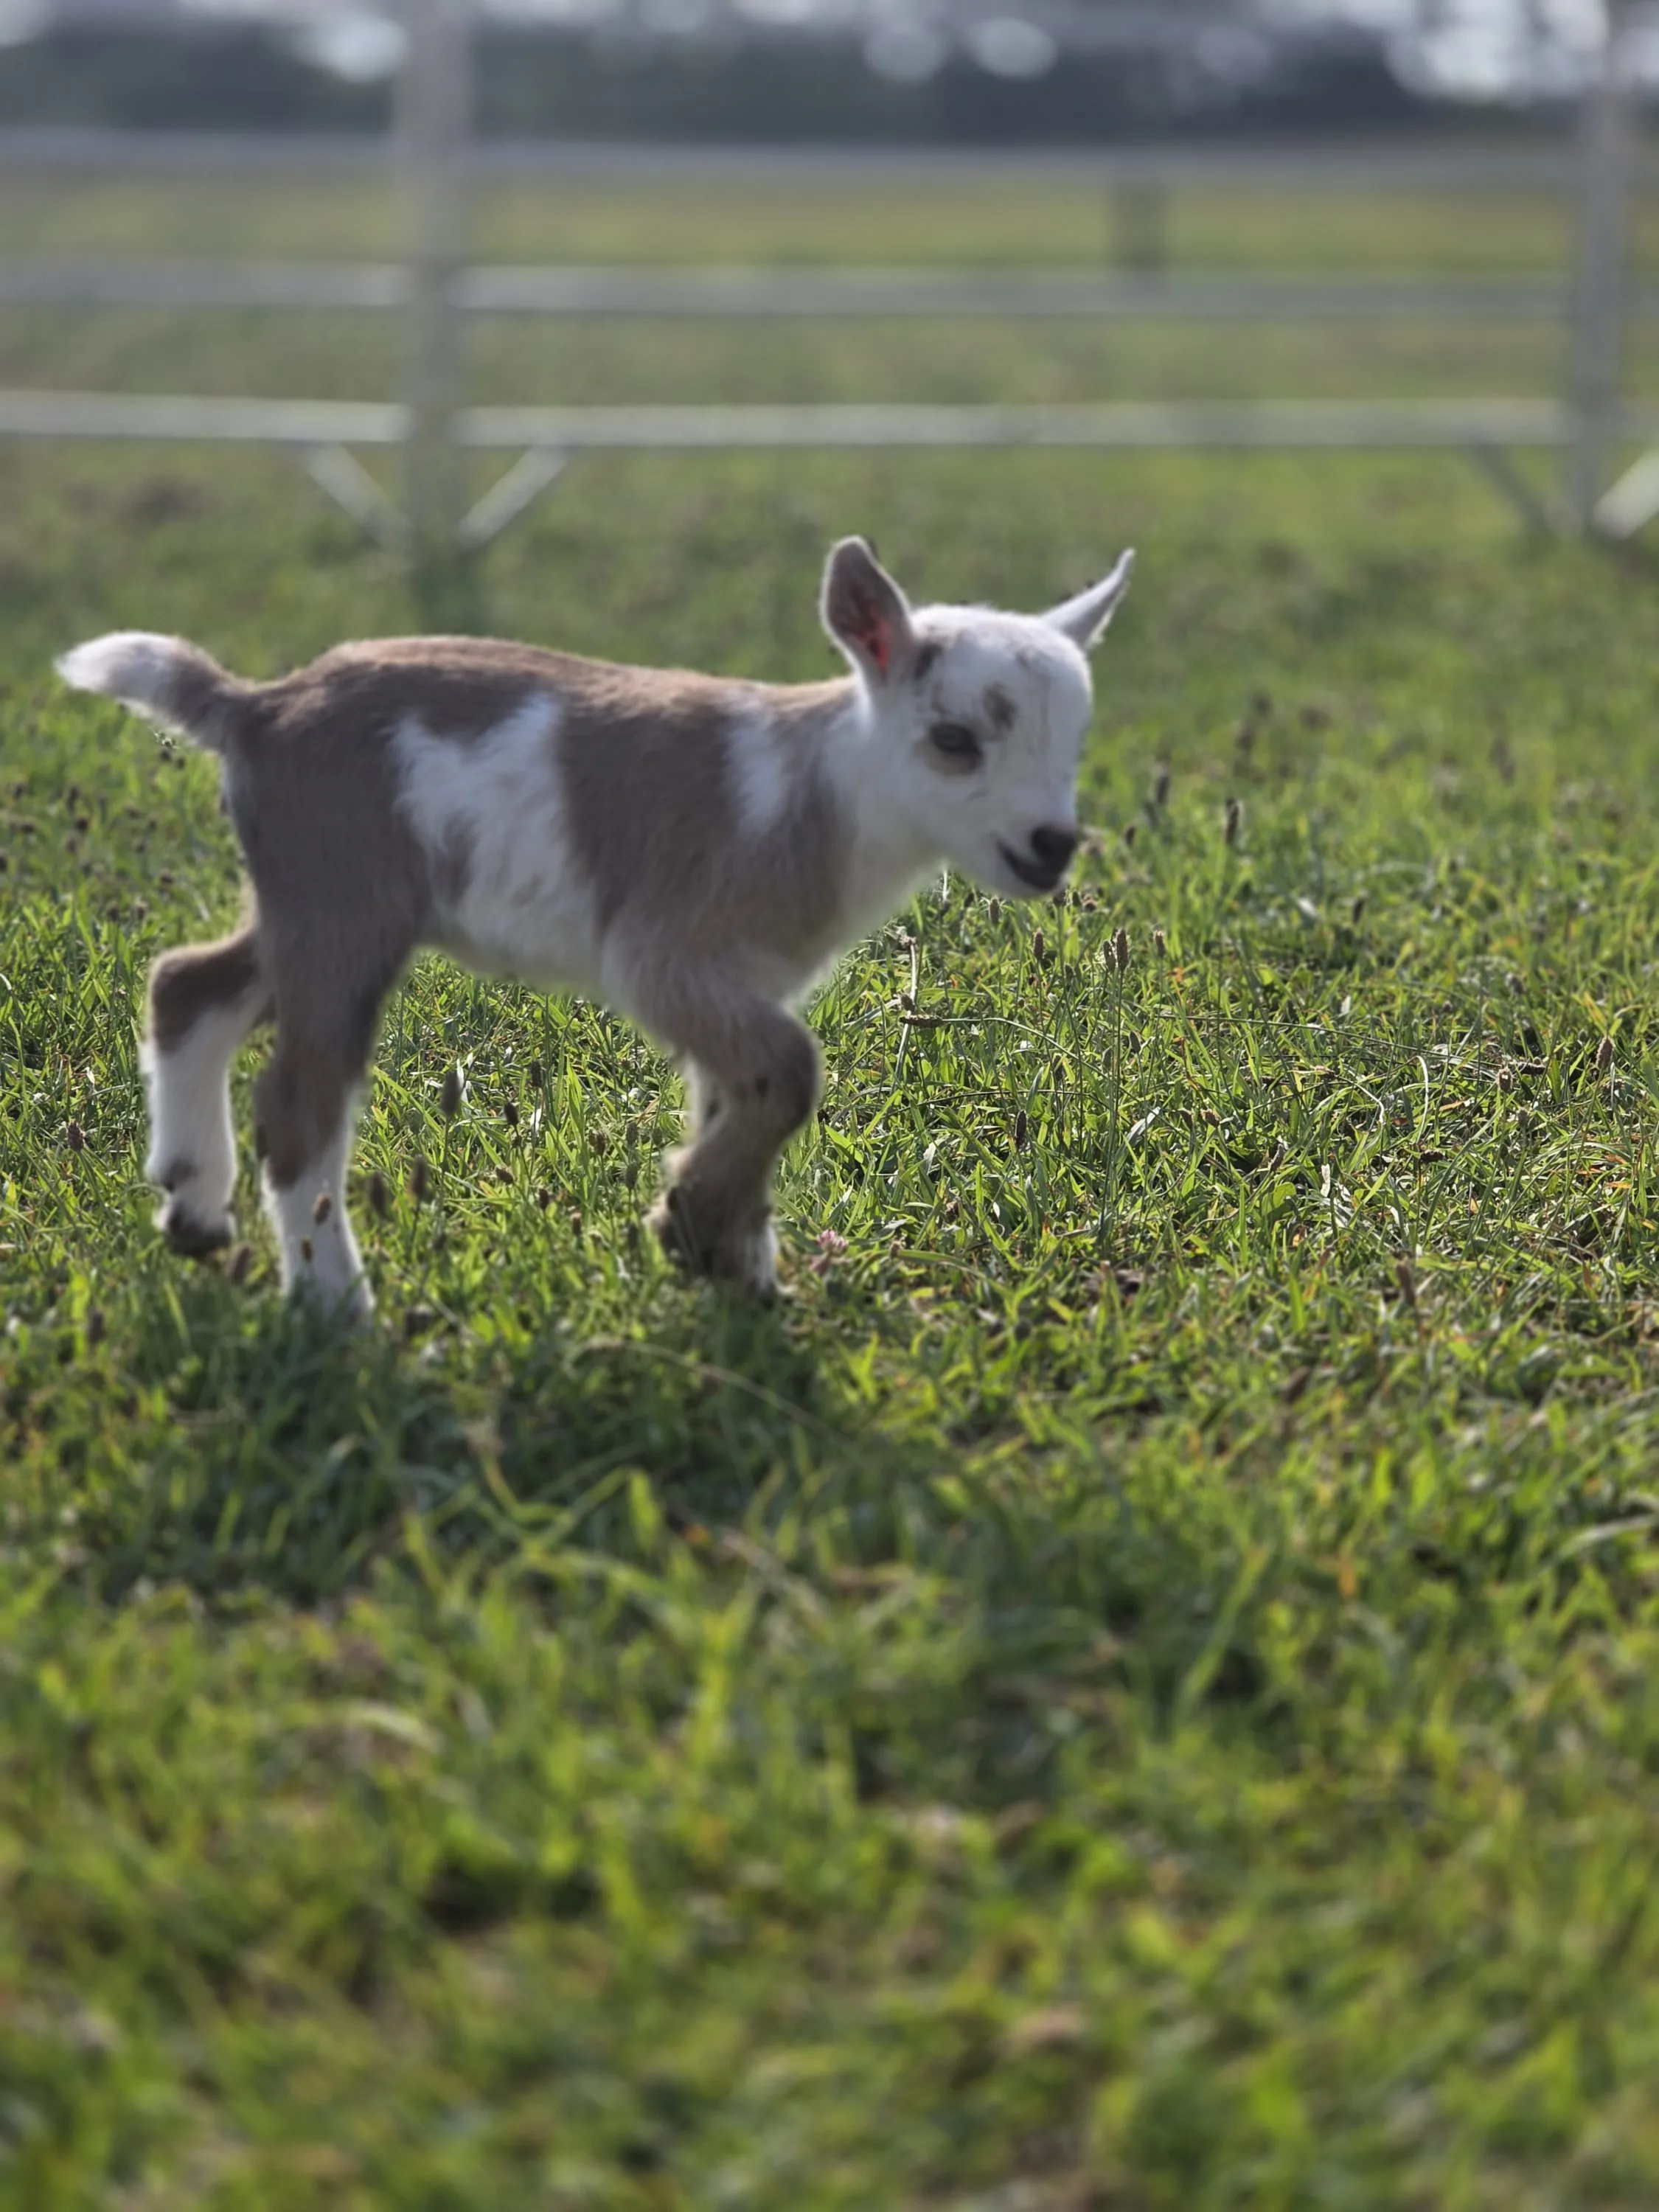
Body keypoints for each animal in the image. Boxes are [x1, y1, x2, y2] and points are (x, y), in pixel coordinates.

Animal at [57, 536, 1133, 1318]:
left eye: (1077, 741)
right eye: (953, 740)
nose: (1051, 846)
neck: (819, 794)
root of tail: (255, 708)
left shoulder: (736, 981)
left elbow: (738, 1091)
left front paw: (740, 1270)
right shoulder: (667, 953)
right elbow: (791, 1070)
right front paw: (690, 1223)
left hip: (306, 892)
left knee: (189, 983)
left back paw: (194, 1208)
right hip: (343, 905)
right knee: (296, 1101)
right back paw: (335, 1306)